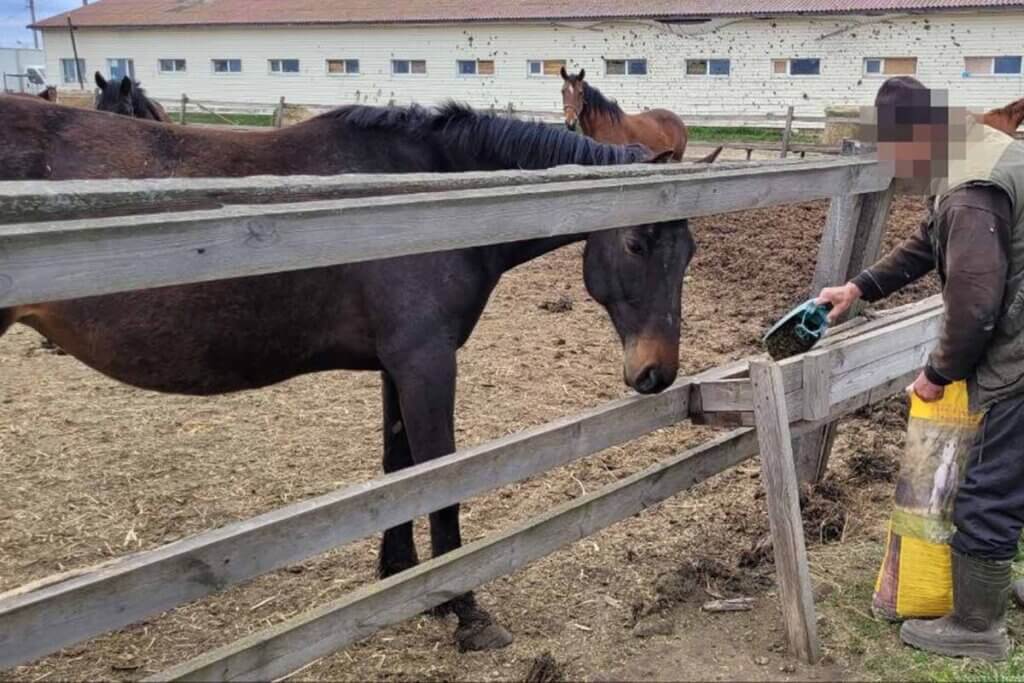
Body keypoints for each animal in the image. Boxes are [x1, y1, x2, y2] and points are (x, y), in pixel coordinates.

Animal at [0, 96, 695, 652]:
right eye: (636, 243)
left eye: (687, 253)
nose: (656, 372)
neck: (439, 197)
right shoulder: (425, 361)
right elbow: (438, 478)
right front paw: (462, 608)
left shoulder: (397, 364)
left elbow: (399, 472)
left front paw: (401, 577)